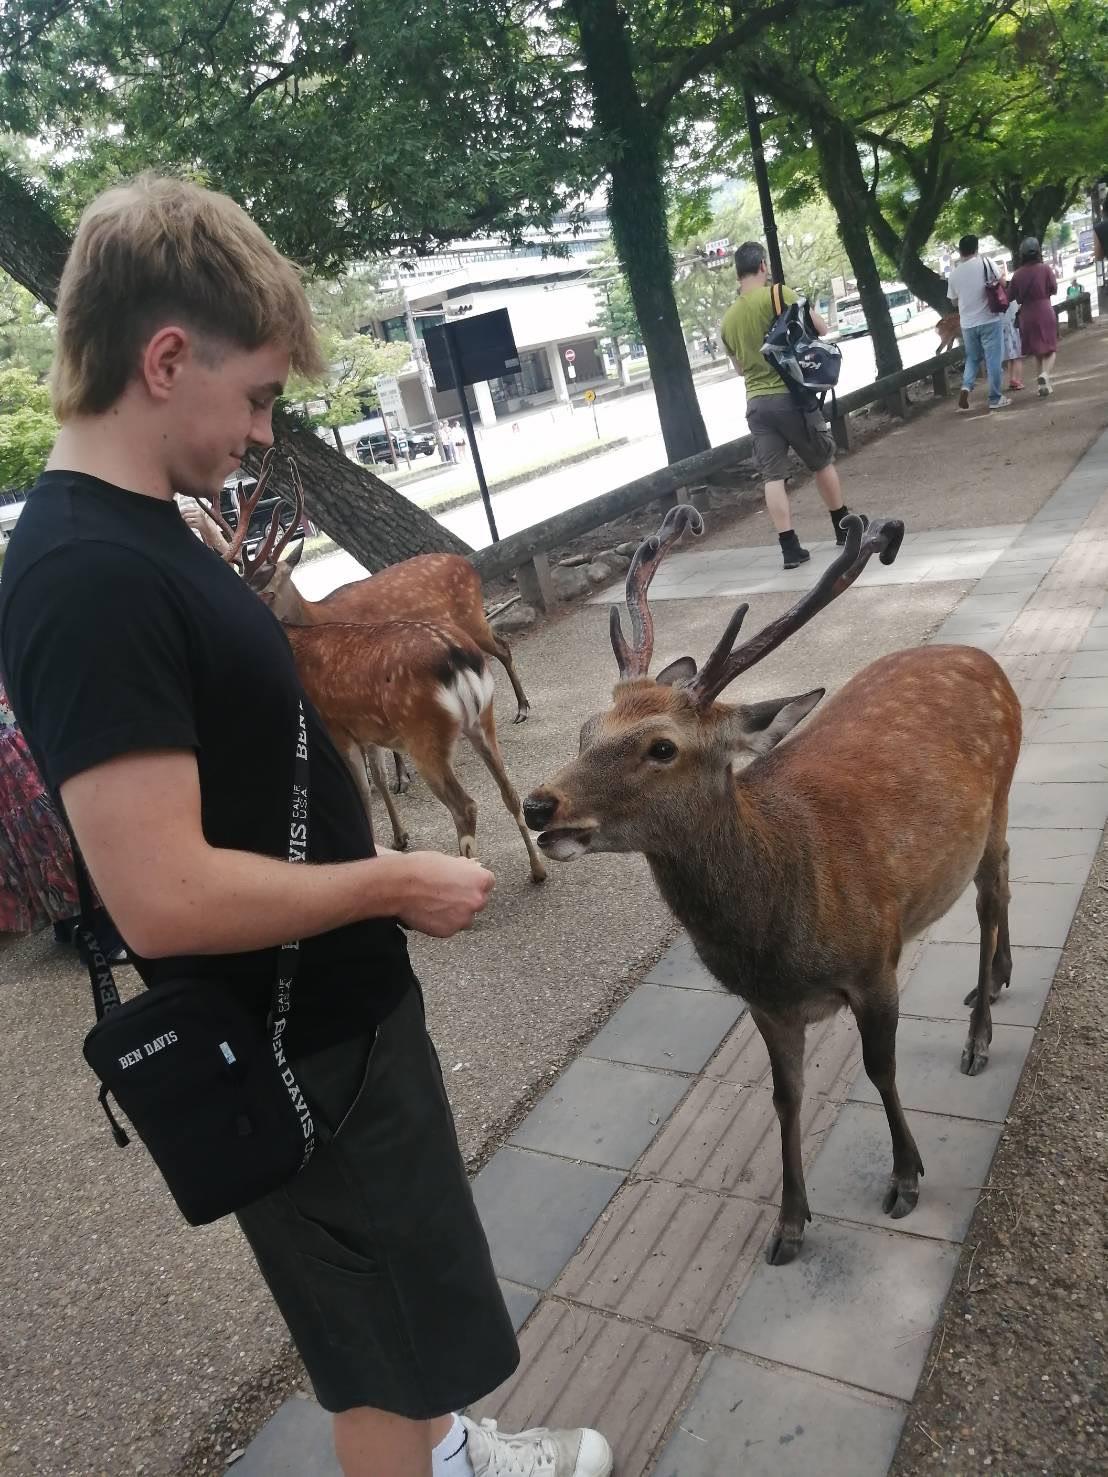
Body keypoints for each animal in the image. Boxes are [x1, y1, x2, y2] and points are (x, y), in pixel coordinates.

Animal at [286, 620, 546, 880]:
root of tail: (456, 655)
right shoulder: (367, 733)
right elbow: (379, 778)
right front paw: (399, 837)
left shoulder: (337, 731)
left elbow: (361, 790)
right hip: (481, 720)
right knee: (510, 793)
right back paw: (537, 870)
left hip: (422, 735)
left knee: (465, 807)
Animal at [525, 513, 1022, 1264]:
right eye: (585, 730)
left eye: (662, 747)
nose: (537, 806)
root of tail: (984, 658)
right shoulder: (763, 1004)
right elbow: (784, 1098)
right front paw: (789, 1222)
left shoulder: (876, 961)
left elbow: (881, 1069)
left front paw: (906, 1176)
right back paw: (995, 979)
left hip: (998, 798)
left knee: (992, 897)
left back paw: (980, 1032)